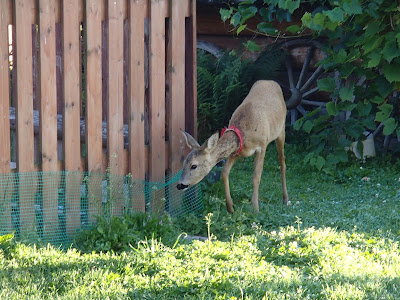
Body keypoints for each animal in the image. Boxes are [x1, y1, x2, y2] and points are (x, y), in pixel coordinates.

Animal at [177, 79, 290, 213]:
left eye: (194, 166)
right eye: (184, 162)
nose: (179, 185)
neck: (244, 132)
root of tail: (270, 81)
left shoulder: (262, 146)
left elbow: (256, 176)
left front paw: (255, 209)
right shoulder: (236, 151)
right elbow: (224, 172)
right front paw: (230, 207)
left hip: (281, 130)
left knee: (282, 162)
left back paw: (286, 199)